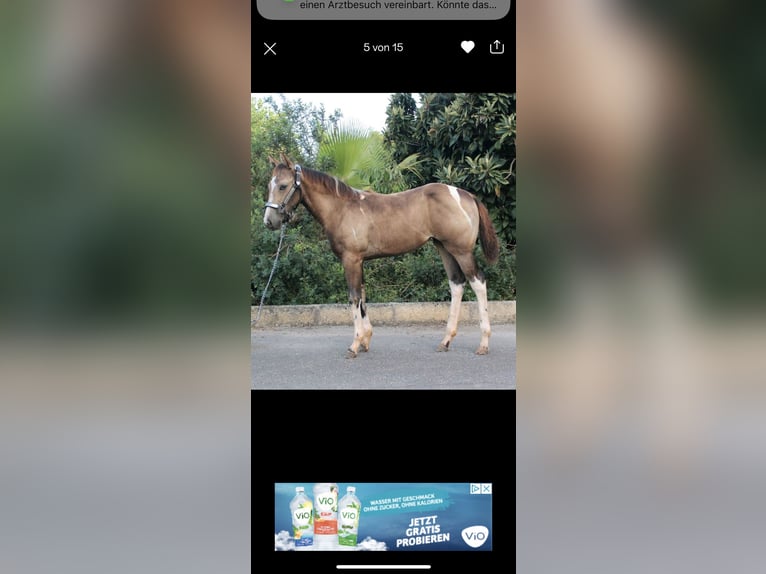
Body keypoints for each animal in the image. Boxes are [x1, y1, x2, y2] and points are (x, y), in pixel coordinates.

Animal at [263, 153, 500, 358]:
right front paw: (365, 340)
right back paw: (445, 341)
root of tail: (466, 195)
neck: (342, 208)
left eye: (283, 186)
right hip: (444, 248)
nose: (269, 221)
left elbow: (353, 297)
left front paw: (354, 345)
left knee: (478, 282)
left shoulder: (351, 260)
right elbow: (362, 297)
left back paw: (484, 343)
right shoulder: (359, 261)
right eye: (269, 186)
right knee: (457, 284)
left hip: (461, 251)